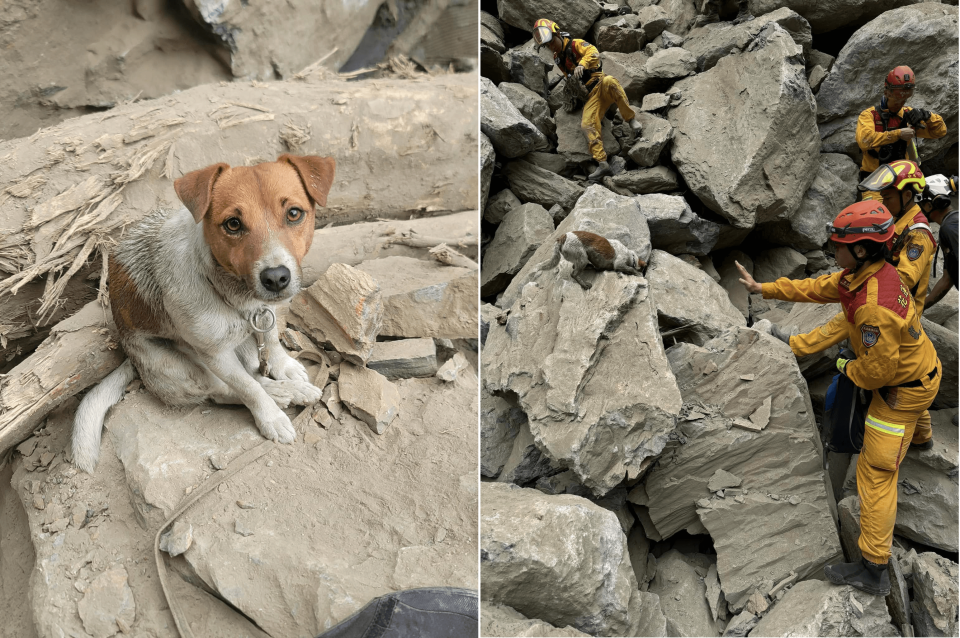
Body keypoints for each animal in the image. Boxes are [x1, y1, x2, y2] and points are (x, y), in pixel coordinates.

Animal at [72, 155, 334, 476]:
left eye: (294, 213)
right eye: (233, 224)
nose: (275, 278)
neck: (231, 292)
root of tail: (130, 362)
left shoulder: (264, 315)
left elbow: (271, 341)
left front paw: (284, 366)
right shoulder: (216, 355)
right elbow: (248, 390)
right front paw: (270, 418)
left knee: (252, 372)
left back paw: (291, 388)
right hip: (183, 369)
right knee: (224, 391)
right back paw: (282, 396)